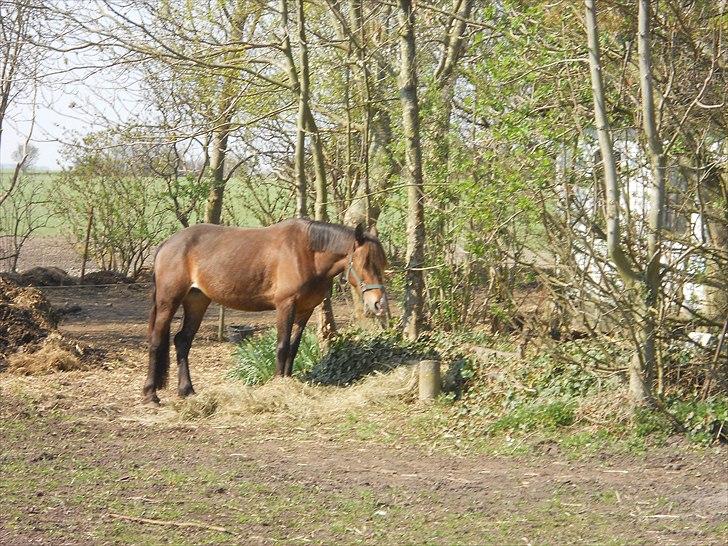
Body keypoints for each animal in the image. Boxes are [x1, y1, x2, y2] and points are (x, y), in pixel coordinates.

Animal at [144, 218, 390, 404]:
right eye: (364, 262)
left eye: (381, 263)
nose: (379, 304)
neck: (306, 253)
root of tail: (167, 243)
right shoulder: (285, 306)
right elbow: (281, 347)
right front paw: (278, 384)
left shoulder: (305, 311)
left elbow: (293, 348)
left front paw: (288, 382)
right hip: (168, 301)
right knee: (156, 341)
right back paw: (151, 394)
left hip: (197, 301)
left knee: (182, 341)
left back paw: (187, 391)